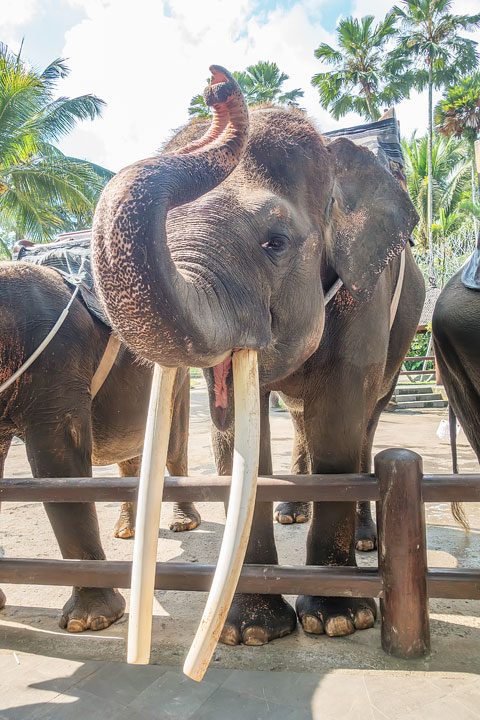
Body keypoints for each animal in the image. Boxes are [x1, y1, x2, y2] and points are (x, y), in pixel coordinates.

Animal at [0, 262, 197, 632]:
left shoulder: (57, 366)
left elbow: (59, 466)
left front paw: (90, 623)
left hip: (178, 378)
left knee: (174, 449)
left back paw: (184, 524)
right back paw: (127, 531)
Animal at [92, 67, 422, 648]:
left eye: (276, 242)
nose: (218, 86)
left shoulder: (366, 295)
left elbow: (339, 418)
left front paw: (336, 620)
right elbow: (237, 436)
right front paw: (250, 630)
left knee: (364, 425)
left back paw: (363, 542)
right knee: (299, 415)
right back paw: (293, 510)